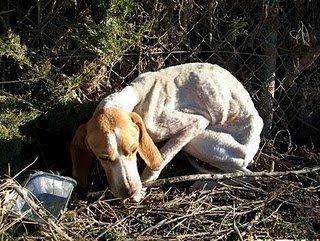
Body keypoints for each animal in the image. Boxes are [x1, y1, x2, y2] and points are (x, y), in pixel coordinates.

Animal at [71, 62, 264, 201]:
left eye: (134, 150)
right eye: (103, 157)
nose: (129, 191)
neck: (135, 96)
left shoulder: (197, 122)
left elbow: (161, 159)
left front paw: (142, 188)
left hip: (198, 142)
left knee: (249, 176)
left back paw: (202, 185)